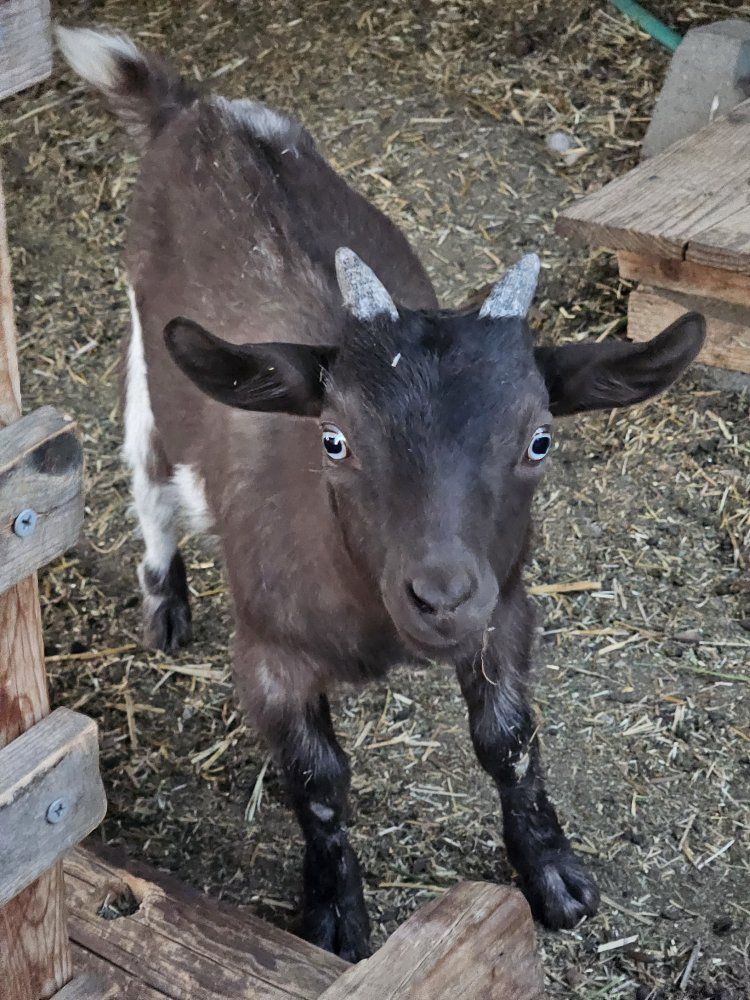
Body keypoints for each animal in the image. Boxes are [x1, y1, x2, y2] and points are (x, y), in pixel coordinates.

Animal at [58, 26, 705, 961]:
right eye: (333, 438)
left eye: (539, 440)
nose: (440, 595)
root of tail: (193, 110)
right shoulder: (268, 656)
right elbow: (317, 778)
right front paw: (334, 913)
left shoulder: (504, 612)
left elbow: (509, 742)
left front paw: (554, 875)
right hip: (147, 348)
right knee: (148, 475)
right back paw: (163, 601)